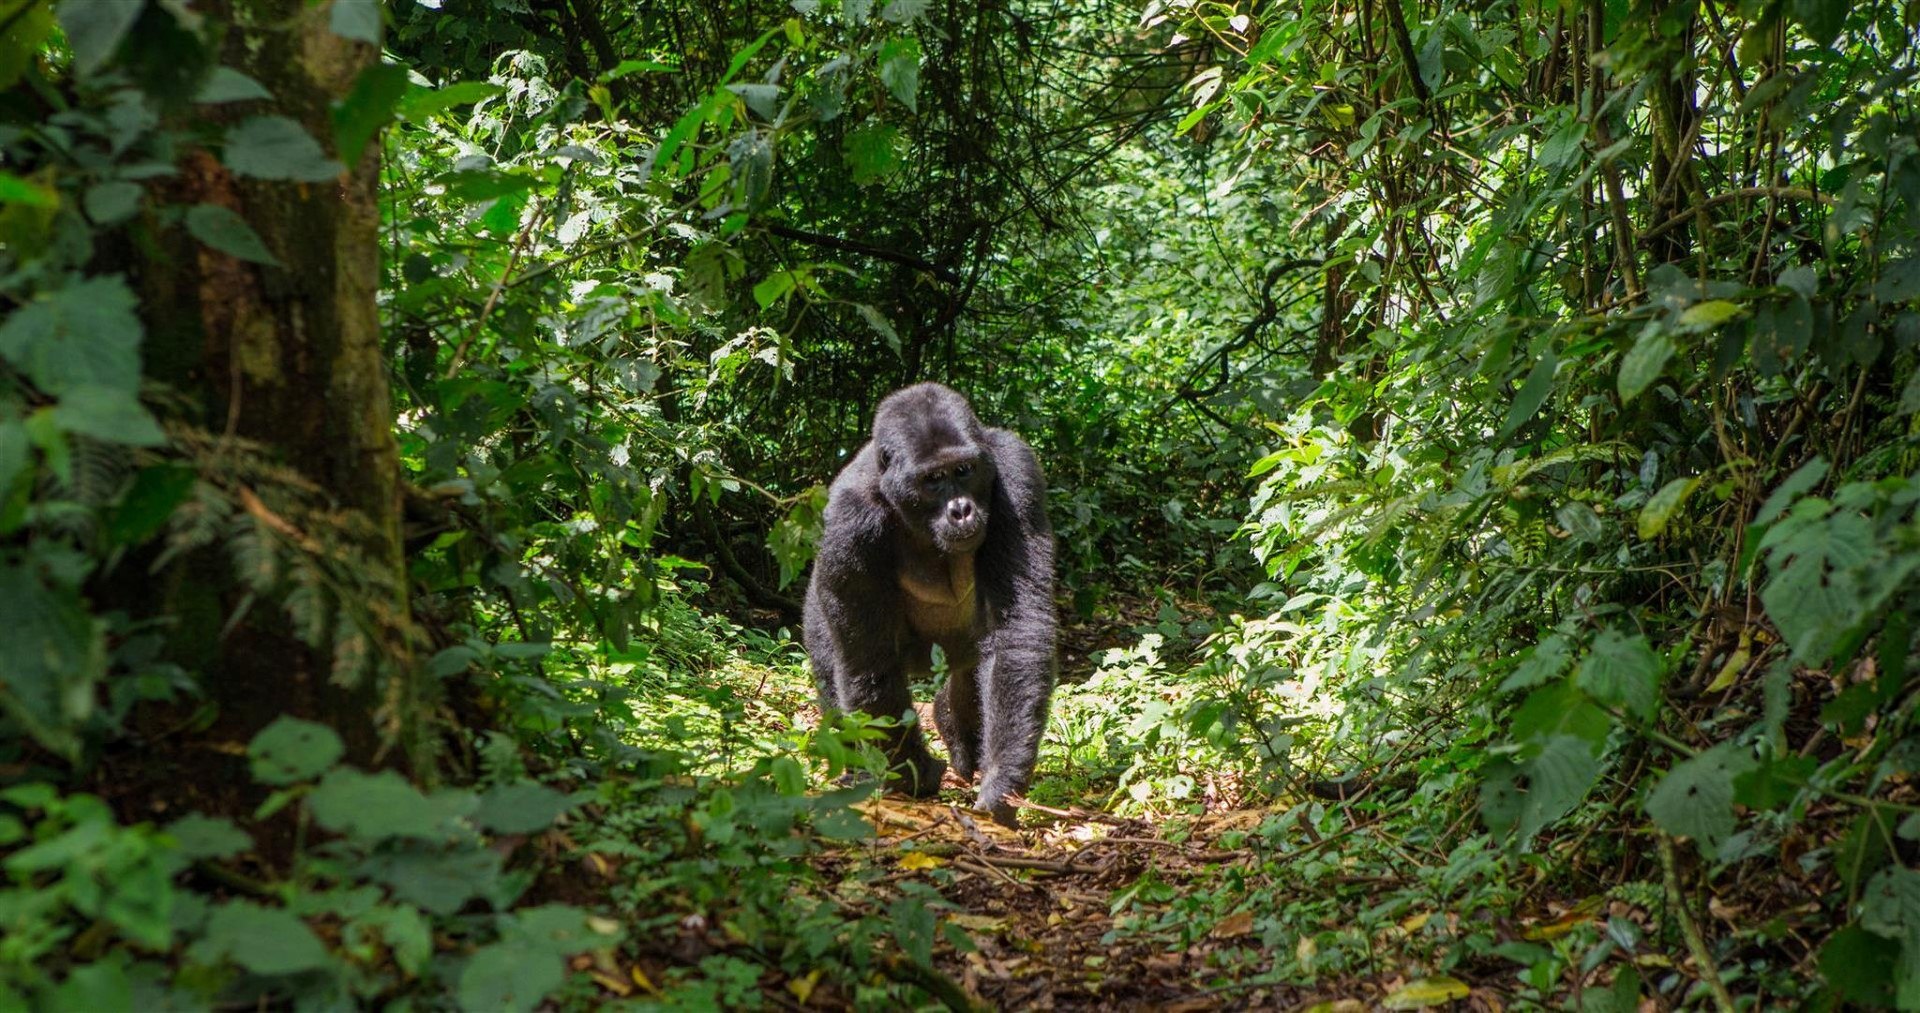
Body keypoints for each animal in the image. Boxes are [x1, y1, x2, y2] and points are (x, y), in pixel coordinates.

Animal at [802, 379, 1059, 821]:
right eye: (933, 479)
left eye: (964, 471)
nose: (961, 510)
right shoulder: (849, 521)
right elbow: (870, 662)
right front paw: (913, 774)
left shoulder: (1016, 470)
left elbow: (1017, 630)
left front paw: (1002, 778)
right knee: (833, 665)